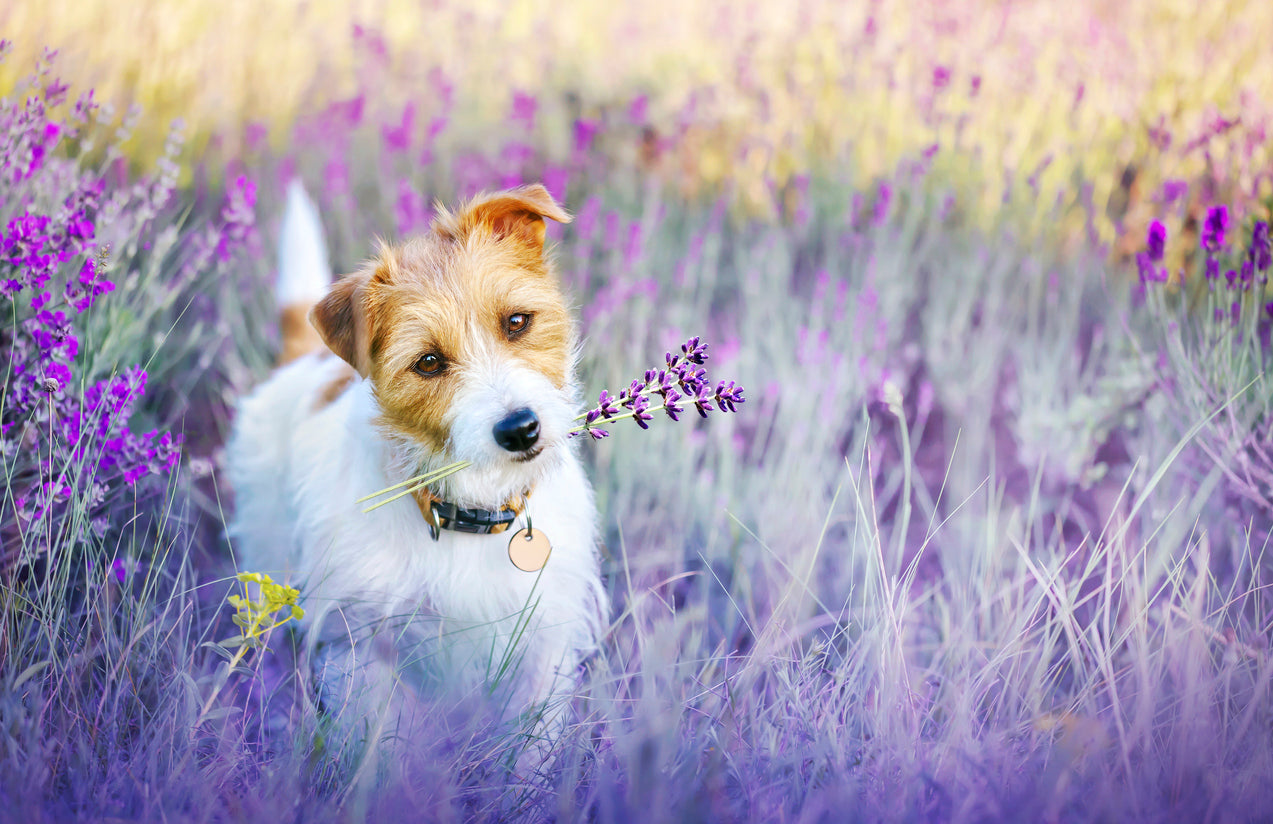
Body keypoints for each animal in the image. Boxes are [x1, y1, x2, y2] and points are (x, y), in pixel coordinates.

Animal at [224, 180, 605, 748]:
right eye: (428, 362)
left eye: (517, 322)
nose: (520, 429)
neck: (469, 511)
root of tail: (305, 357)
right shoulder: (364, 647)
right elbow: (378, 744)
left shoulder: (544, 643)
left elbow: (532, 747)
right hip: (267, 562)